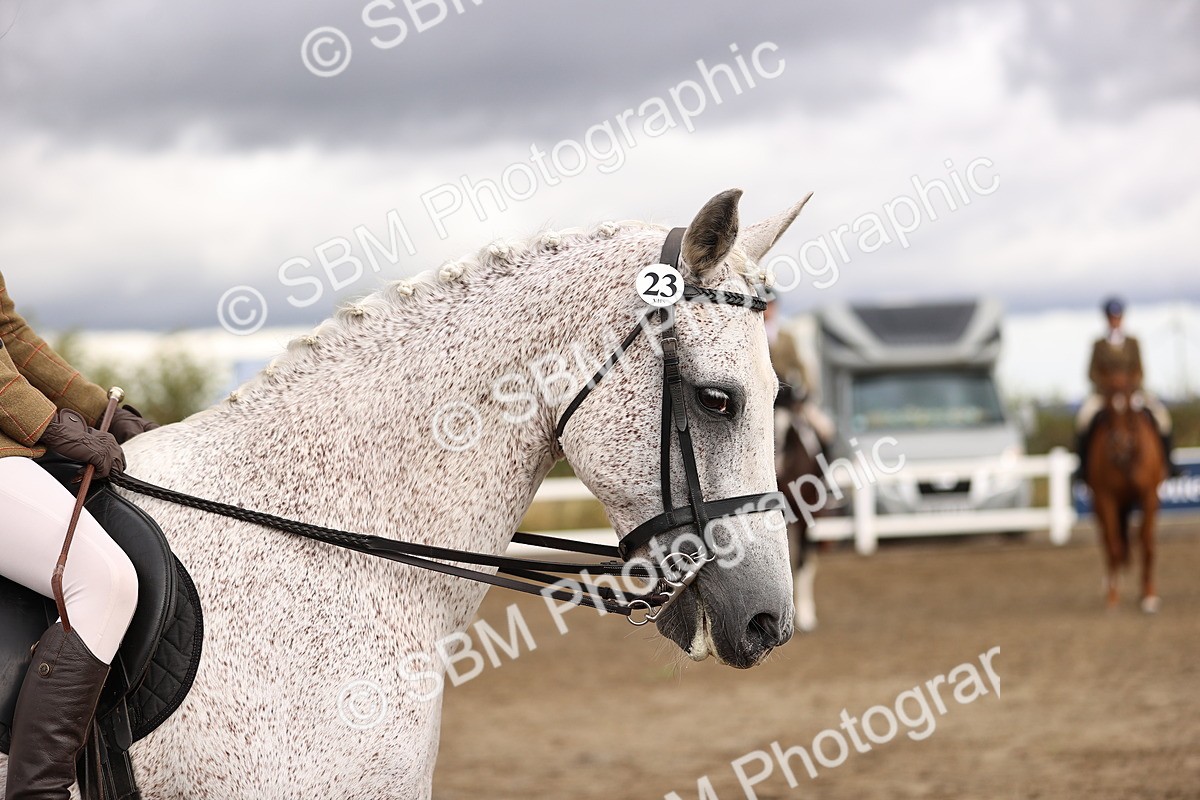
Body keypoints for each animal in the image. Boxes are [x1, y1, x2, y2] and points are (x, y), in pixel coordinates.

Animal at [1084, 370, 1166, 613]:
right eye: (1108, 410)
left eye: (1130, 410)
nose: (1118, 446)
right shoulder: (1106, 498)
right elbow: (1114, 544)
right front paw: (1113, 597)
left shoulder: (1149, 496)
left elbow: (1146, 542)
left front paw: (1148, 596)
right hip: (1099, 507)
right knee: (1108, 542)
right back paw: (1110, 586)